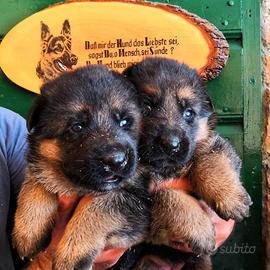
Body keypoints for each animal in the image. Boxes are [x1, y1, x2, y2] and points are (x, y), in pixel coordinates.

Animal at [12, 65, 150, 270]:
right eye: (77, 127)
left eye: (125, 121)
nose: (116, 160)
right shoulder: (40, 164)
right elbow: (37, 181)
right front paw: (28, 233)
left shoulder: (140, 205)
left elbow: (100, 206)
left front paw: (71, 254)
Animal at [120, 57, 251, 270]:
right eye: (146, 108)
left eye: (189, 113)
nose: (171, 144)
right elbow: (164, 194)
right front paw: (199, 229)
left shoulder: (210, 143)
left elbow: (211, 158)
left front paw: (230, 198)